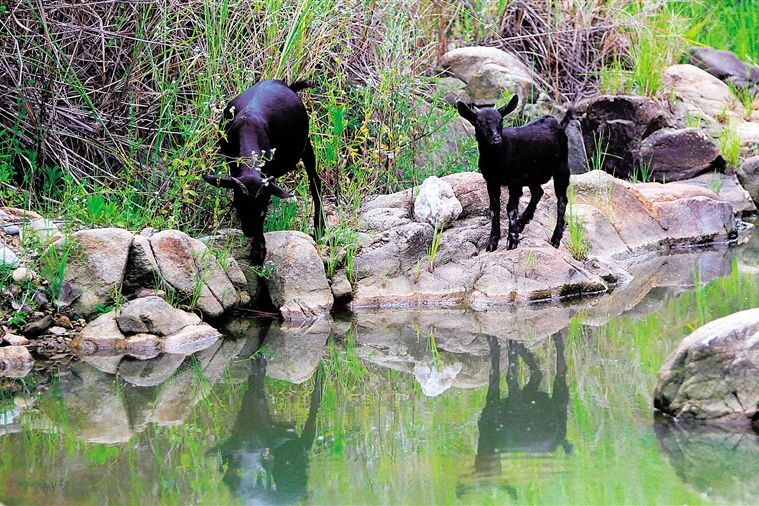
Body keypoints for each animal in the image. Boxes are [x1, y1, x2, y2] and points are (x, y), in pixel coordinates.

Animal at [205, 80, 324, 264]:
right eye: (239, 206)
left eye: (261, 211)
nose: (248, 231)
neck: (247, 126)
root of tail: (288, 86)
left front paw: (258, 252)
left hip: (305, 144)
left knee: (315, 181)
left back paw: (319, 229)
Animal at [454, 95, 572, 251]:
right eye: (478, 123)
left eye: (500, 120)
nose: (496, 138)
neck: (497, 160)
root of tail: (554, 121)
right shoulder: (491, 181)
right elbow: (494, 209)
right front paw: (492, 242)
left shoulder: (515, 180)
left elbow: (511, 209)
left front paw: (512, 241)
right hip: (532, 175)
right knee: (538, 192)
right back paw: (522, 223)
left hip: (562, 166)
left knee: (562, 200)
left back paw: (555, 238)